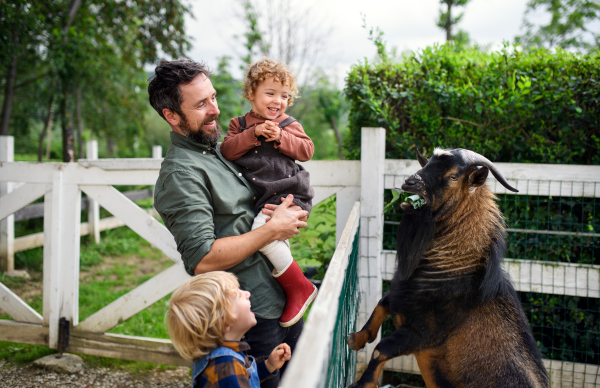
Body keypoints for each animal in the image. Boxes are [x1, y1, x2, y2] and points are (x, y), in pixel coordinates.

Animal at [346, 148, 548, 388]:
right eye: (428, 163)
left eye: (453, 176)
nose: (409, 183)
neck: (455, 267)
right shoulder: (401, 302)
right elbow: (382, 303)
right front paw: (355, 339)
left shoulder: (423, 334)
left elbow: (381, 348)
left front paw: (362, 383)